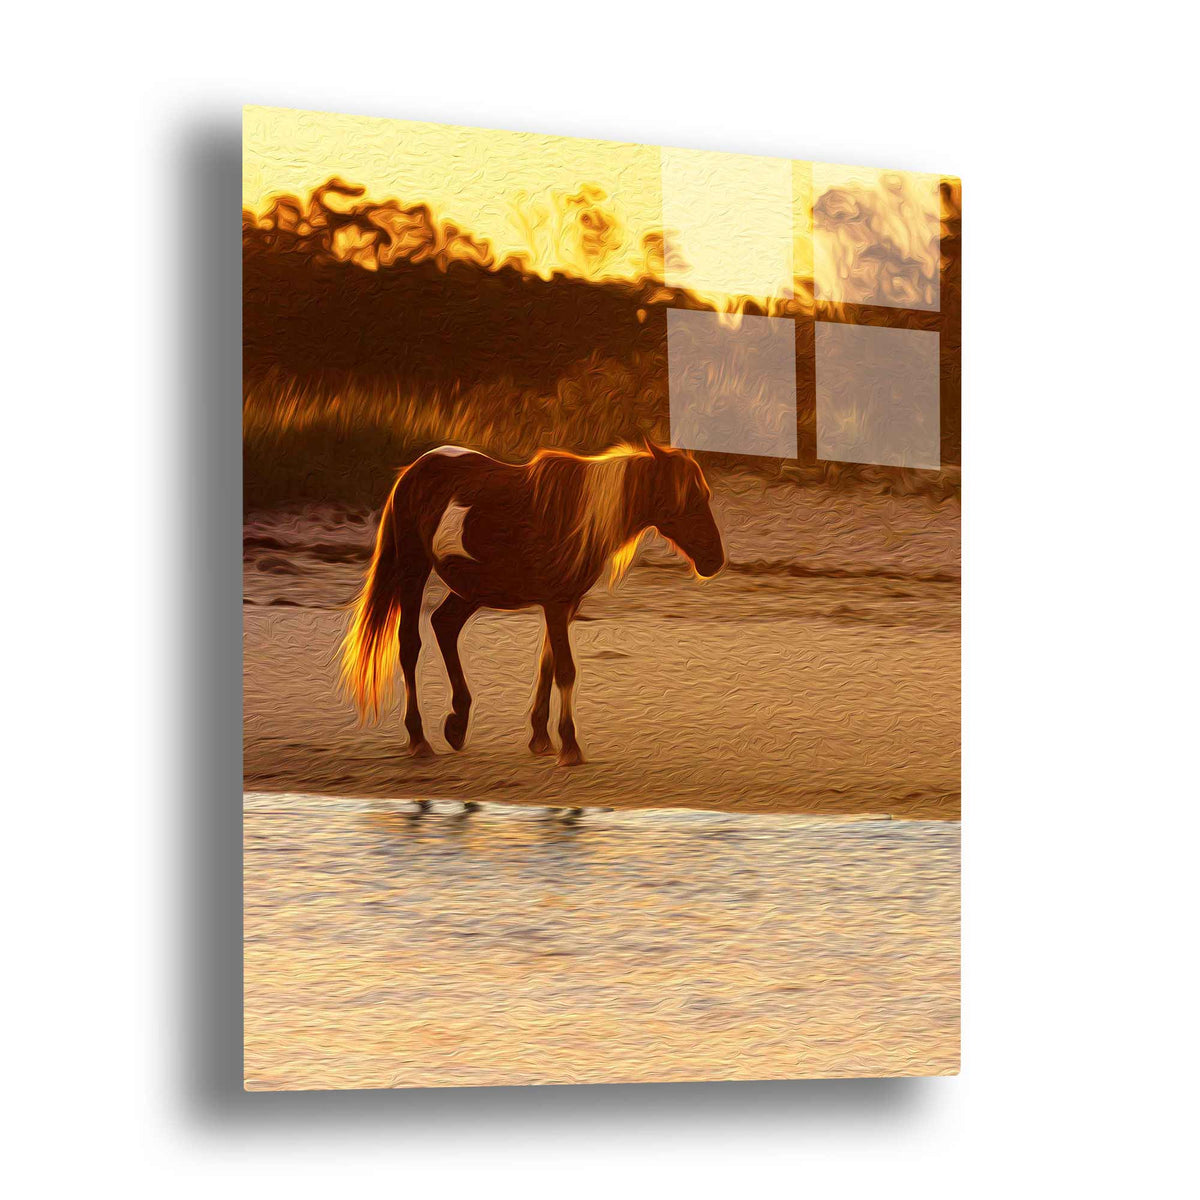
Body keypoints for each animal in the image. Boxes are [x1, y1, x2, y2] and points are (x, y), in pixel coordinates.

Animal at [343, 436, 724, 763]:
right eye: (687, 500)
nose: (715, 561)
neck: (576, 515)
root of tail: (413, 470)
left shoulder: (564, 603)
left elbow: (547, 664)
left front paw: (541, 737)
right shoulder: (555, 603)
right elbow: (565, 670)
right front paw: (569, 745)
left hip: (476, 587)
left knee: (445, 624)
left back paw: (457, 723)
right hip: (414, 568)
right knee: (410, 644)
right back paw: (419, 737)